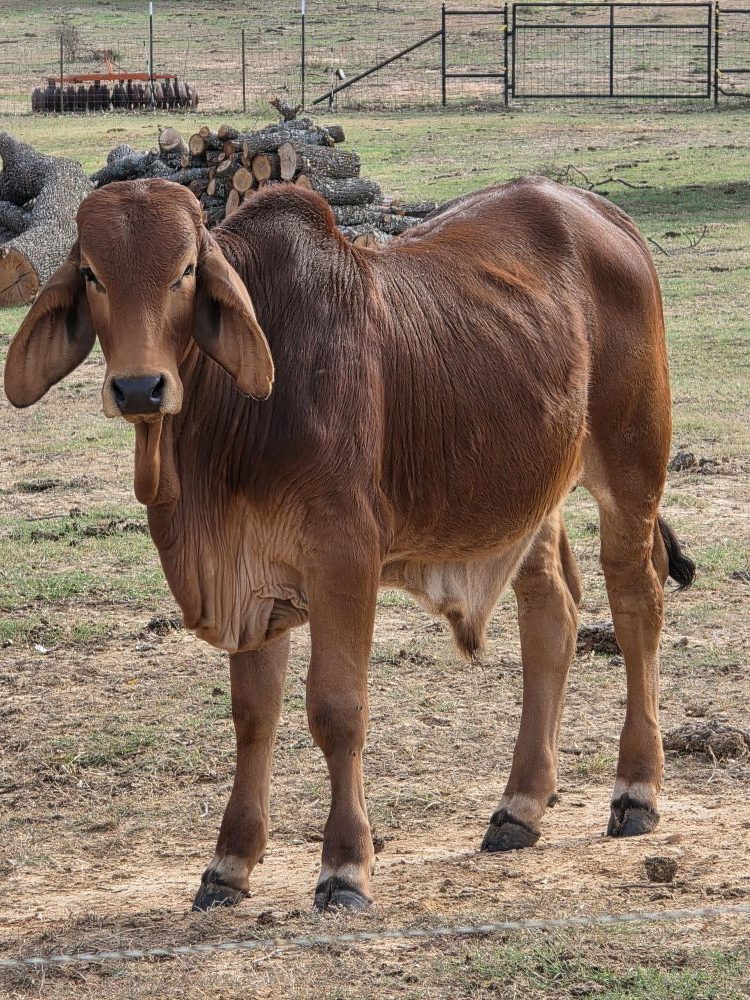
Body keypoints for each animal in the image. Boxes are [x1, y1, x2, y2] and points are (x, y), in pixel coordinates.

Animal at [4, 176, 694, 913]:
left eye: (185, 271)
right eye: (92, 274)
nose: (139, 387)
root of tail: (601, 212)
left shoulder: (345, 556)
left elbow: (337, 710)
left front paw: (344, 866)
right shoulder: (250, 577)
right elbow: (253, 716)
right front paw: (229, 863)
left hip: (632, 469)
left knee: (636, 603)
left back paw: (637, 791)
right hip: (526, 498)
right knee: (552, 617)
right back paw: (520, 806)